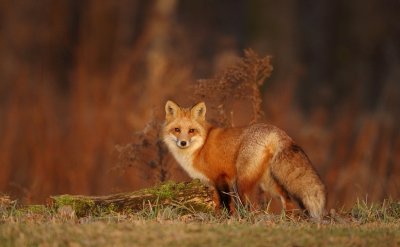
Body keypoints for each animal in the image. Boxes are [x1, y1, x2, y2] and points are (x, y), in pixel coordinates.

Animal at [163, 99, 328, 219]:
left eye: (191, 131)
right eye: (177, 130)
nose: (183, 143)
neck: (200, 147)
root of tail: (275, 130)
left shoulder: (221, 178)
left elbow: (225, 203)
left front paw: (226, 219)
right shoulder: (212, 183)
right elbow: (217, 203)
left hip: (241, 182)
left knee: (247, 206)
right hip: (267, 182)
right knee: (286, 198)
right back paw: (287, 219)